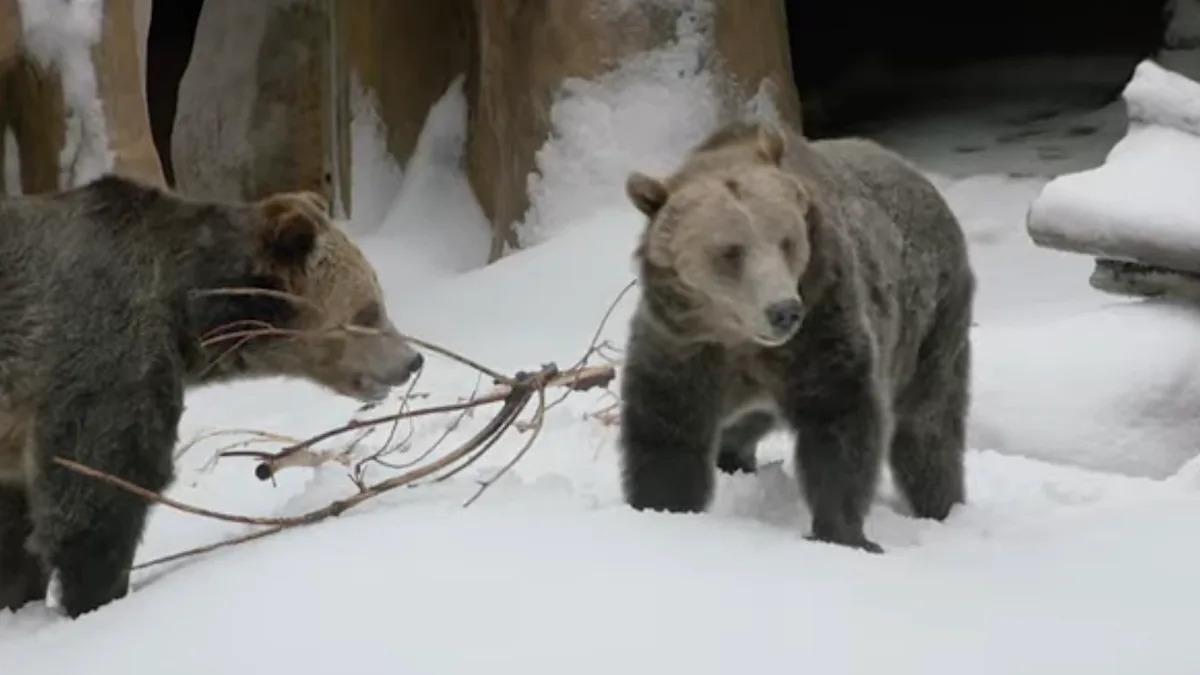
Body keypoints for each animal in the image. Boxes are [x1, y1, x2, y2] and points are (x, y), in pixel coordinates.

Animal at [0, 174, 424, 618]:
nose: (413, 360)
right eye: (367, 311)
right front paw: (97, 597)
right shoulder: (103, 353)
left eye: (377, 300)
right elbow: (100, 490)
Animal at [617, 119, 975, 553]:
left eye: (786, 240)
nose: (784, 310)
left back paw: (940, 506)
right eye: (730, 252)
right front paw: (664, 508)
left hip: (930, 323)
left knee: (928, 425)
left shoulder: (821, 330)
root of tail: (922, 180)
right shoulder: (683, 343)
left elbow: (840, 422)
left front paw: (842, 533)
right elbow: (666, 429)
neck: (742, 341)